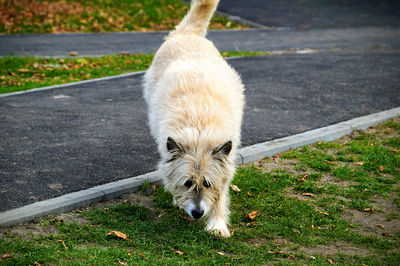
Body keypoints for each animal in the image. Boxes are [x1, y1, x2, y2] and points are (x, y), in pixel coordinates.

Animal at [142, 0, 245, 237]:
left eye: (207, 184)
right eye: (188, 183)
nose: (197, 213)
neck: (199, 132)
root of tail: (186, 33)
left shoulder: (225, 162)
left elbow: (221, 192)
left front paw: (217, 223)